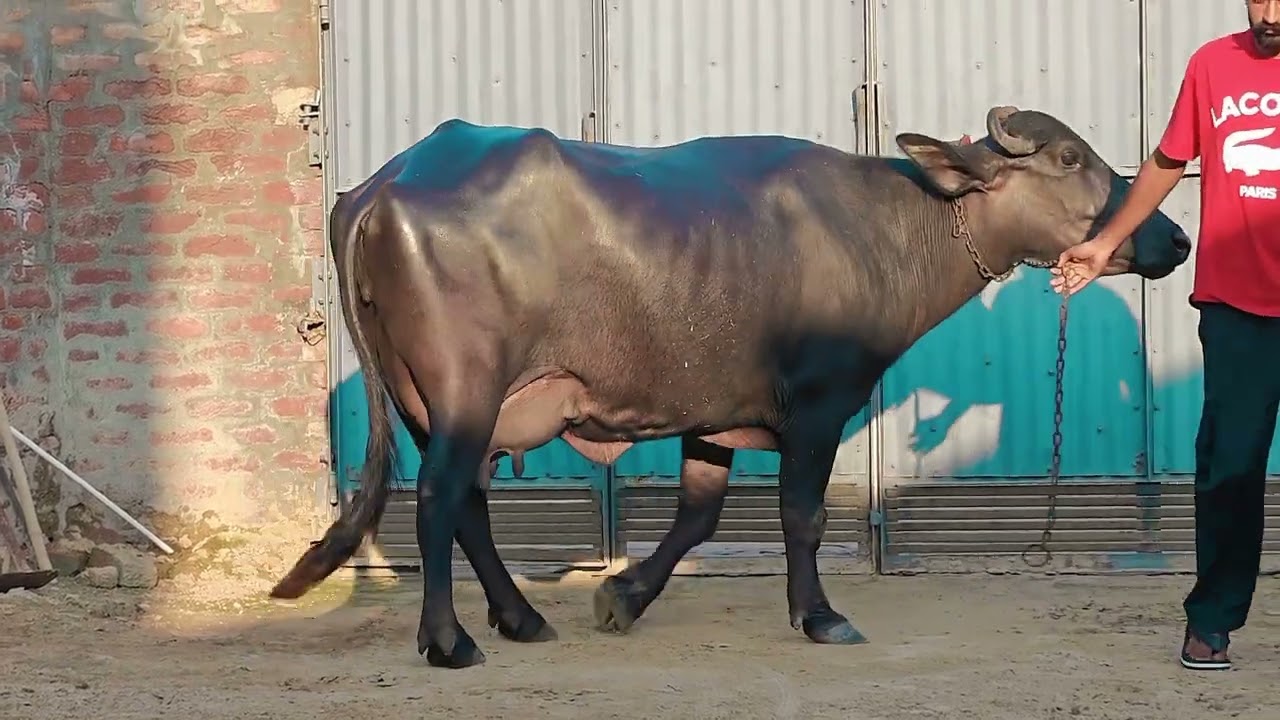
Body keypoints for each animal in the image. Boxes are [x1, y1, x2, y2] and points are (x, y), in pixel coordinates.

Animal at [270, 105, 1192, 668]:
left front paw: (622, 597)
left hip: (435, 405)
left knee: (464, 503)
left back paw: (522, 617)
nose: (1175, 237)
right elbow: (802, 517)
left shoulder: (710, 417)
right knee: (435, 502)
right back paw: (451, 639)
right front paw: (820, 615)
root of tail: (383, 186)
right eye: (1069, 158)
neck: (890, 226)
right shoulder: (820, 405)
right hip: (463, 390)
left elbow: (699, 516)